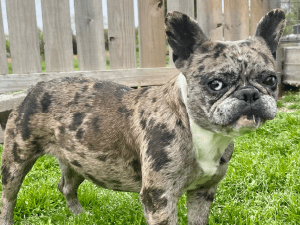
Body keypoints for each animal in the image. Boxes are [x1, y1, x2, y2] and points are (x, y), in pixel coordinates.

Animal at [0, 8, 286, 225]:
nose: (249, 94)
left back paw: (80, 216)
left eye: (271, 80)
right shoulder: (159, 197)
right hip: (16, 161)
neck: (200, 132)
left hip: (78, 160)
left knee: (67, 187)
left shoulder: (203, 193)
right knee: (8, 198)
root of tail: (35, 87)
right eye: (215, 84)